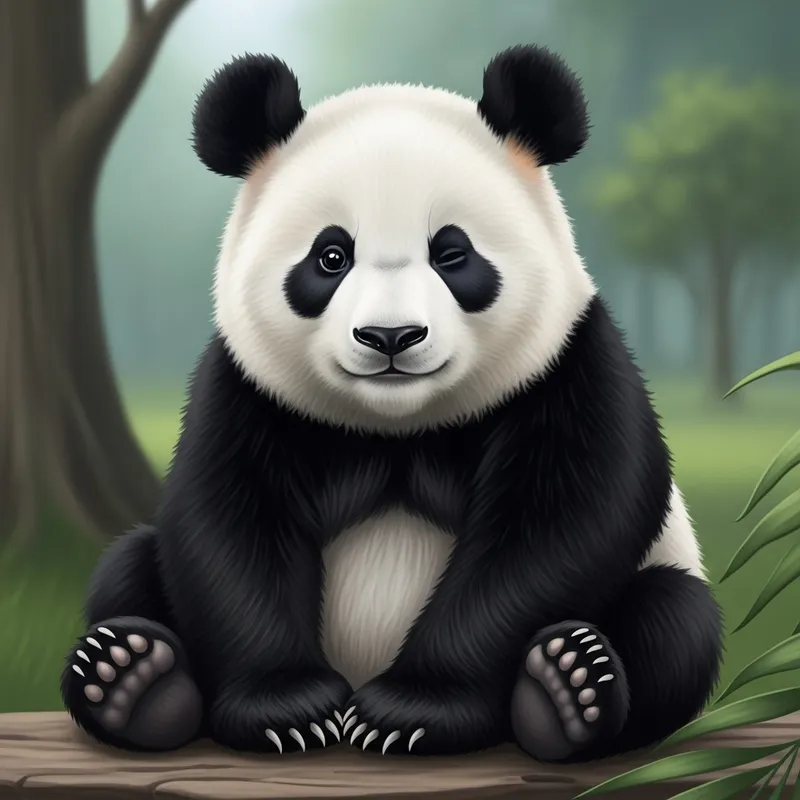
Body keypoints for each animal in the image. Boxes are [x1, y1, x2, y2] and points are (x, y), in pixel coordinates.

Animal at [61, 44, 723, 763]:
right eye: (330, 256)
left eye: (453, 253)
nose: (390, 336)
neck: (399, 427)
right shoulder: (246, 387)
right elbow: (230, 526)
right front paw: (285, 708)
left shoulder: (565, 365)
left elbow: (561, 522)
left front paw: (413, 711)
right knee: (129, 565)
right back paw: (132, 679)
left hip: (664, 576)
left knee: (673, 619)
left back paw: (566, 691)